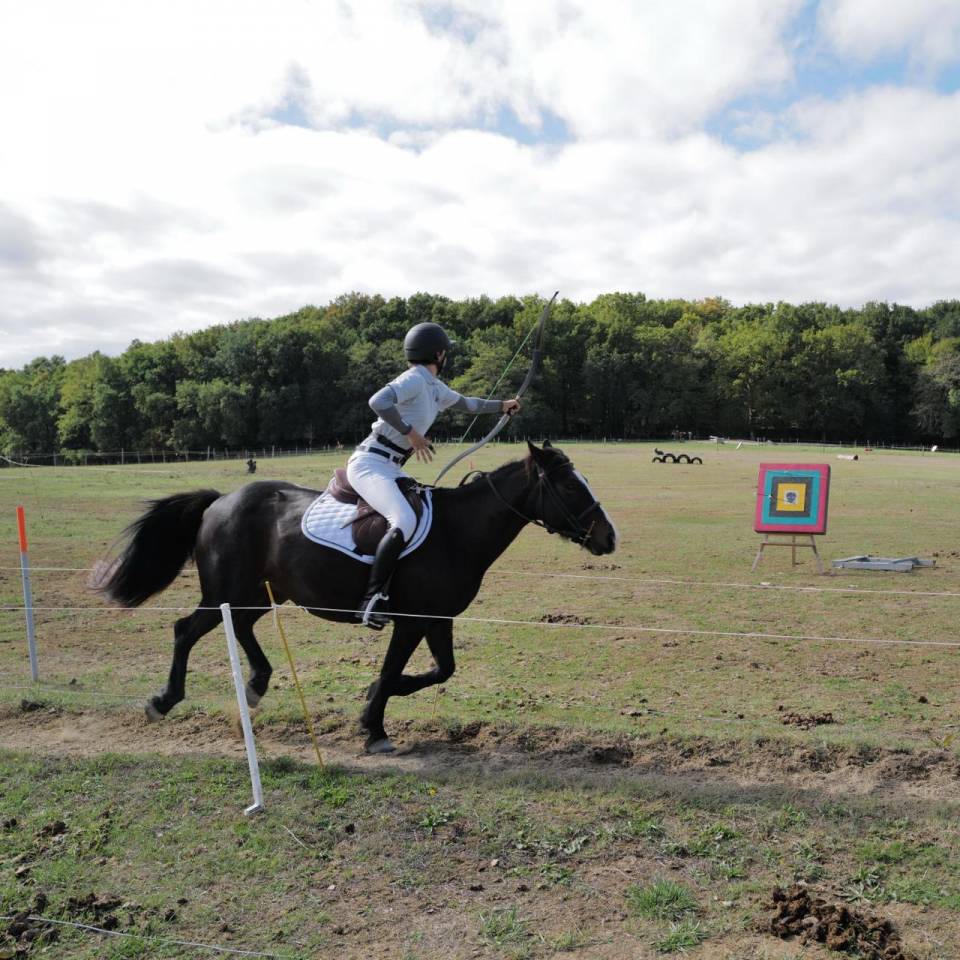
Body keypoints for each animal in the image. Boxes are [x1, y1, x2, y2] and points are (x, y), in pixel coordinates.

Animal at [98, 441, 617, 753]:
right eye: (570, 486)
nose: (608, 537)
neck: (457, 532)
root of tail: (221, 500)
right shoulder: (410, 621)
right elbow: (391, 673)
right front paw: (373, 727)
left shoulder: (438, 620)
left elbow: (440, 671)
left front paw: (370, 705)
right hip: (226, 592)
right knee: (185, 630)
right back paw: (165, 699)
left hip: (260, 595)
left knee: (240, 628)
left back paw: (256, 685)